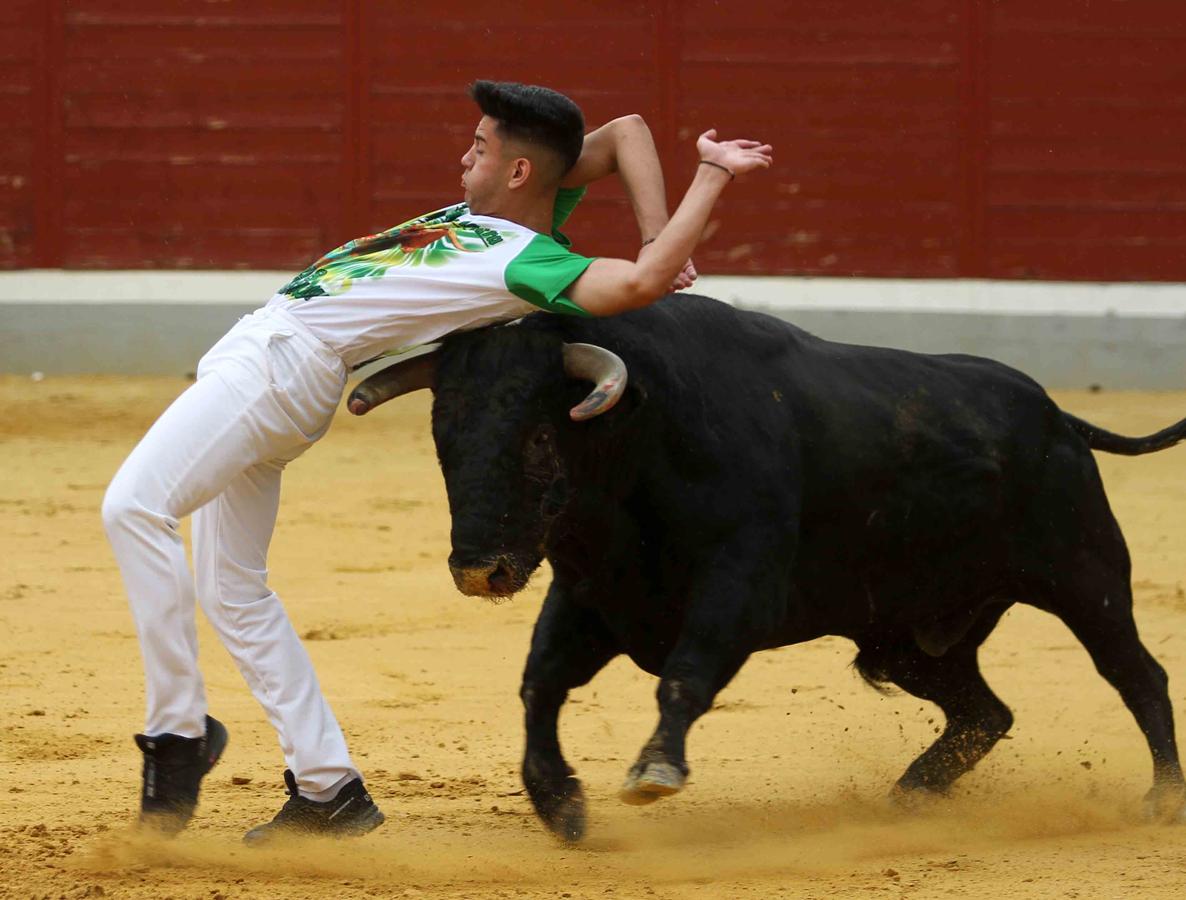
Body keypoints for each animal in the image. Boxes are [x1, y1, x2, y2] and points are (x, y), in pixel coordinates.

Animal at [355, 291, 1186, 839]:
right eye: (444, 437)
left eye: (537, 436)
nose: (480, 570)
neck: (647, 433)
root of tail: (1056, 417)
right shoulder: (591, 595)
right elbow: (540, 684)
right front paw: (559, 803)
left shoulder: (738, 586)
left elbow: (685, 674)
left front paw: (653, 773)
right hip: (905, 641)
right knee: (985, 711)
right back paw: (911, 794)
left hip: (1084, 575)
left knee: (1136, 674)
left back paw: (1162, 799)